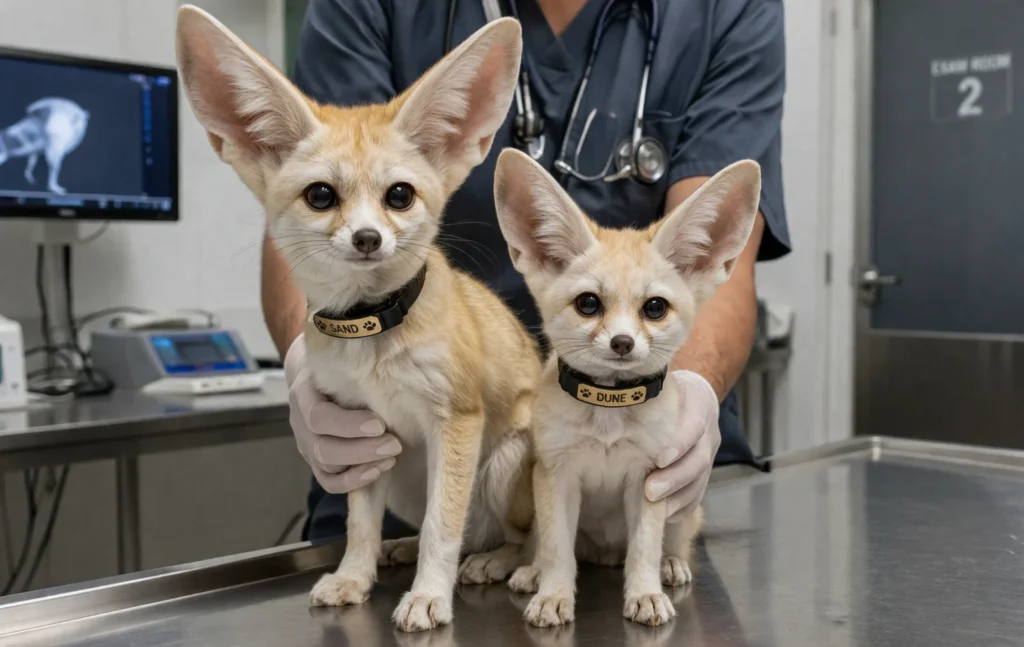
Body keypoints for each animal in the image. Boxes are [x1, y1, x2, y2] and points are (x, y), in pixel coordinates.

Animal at [174, 6, 540, 632]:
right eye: (322, 196)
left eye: (399, 196)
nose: (368, 237)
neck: (373, 333)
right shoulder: (362, 434)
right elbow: (360, 524)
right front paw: (354, 576)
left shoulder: (456, 422)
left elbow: (444, 526)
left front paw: (430, 594)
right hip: (402, 471)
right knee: (457, 531)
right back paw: (407, 548)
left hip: (502, 462)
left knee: (519, 536)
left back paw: (504, 563)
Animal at [493, 149, 760, 628]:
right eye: (588, 304)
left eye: (654, 308)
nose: (622, 342)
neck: (609, 409)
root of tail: (603, 551)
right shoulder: (557, 476)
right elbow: (558, 551)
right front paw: (553, 593)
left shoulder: (650, 481)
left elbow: (644, 549)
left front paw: (645, 593)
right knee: (545, 545)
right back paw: (530, 570)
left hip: (682, 509)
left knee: (666, 544)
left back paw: (670, 565)